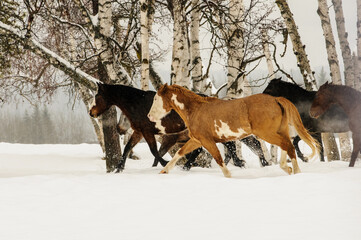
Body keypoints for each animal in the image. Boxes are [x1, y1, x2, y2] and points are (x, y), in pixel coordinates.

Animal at [88, 82, 266, 171]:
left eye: (97, 95)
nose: (91, 112)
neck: (138, 103)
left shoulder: (148, 132)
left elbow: (154, 151)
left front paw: (164, 164)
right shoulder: (139, 132)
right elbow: (127, 149)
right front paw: (119, 168)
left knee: (227, 147)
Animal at [146, 83, 318, 177]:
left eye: (155, 98)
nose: (149, 116)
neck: (195, 110)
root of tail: (276, 99)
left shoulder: (207, 141)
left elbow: (219, 158)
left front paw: (229, 176)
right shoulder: (197, 140)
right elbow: (179, 153)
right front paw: (164, 171)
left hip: (266, 133)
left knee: (288, 146)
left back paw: (295, 172)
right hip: (278, 131)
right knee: (287, 145)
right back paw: (287, 168)